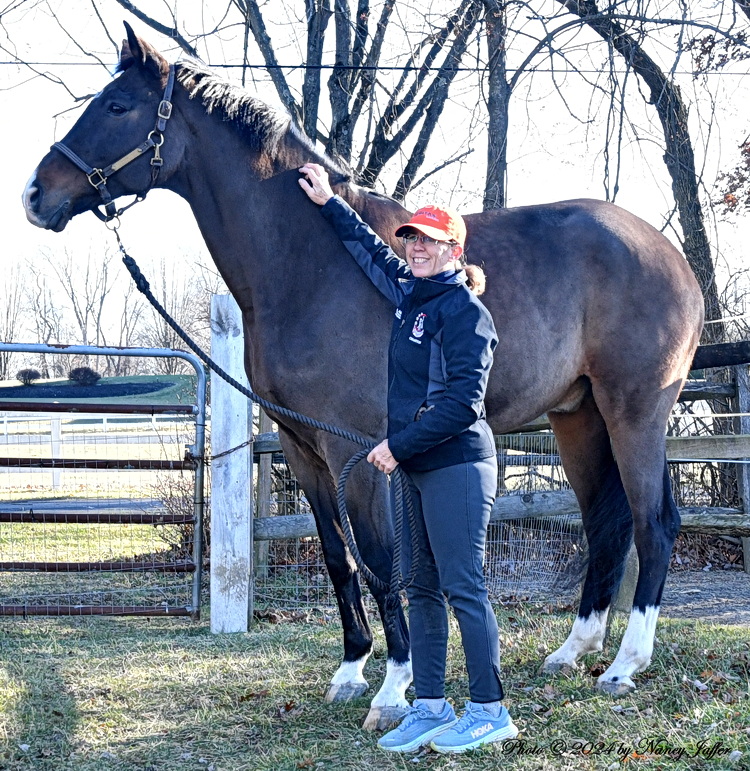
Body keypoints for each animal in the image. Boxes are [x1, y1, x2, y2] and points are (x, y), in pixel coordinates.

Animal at [23, 24, 704, 729]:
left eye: (117, 106)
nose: (36, 196)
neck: (312, 265)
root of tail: (668, 253)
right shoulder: (302, 447)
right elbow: (337, 557)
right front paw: (351, 670)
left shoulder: (355, 447)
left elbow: (379, 561)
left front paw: (394, 687)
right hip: (578, 417)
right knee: (605, 523)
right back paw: (573, 651)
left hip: (635, 411)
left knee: (654, 522)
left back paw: (625, 666)